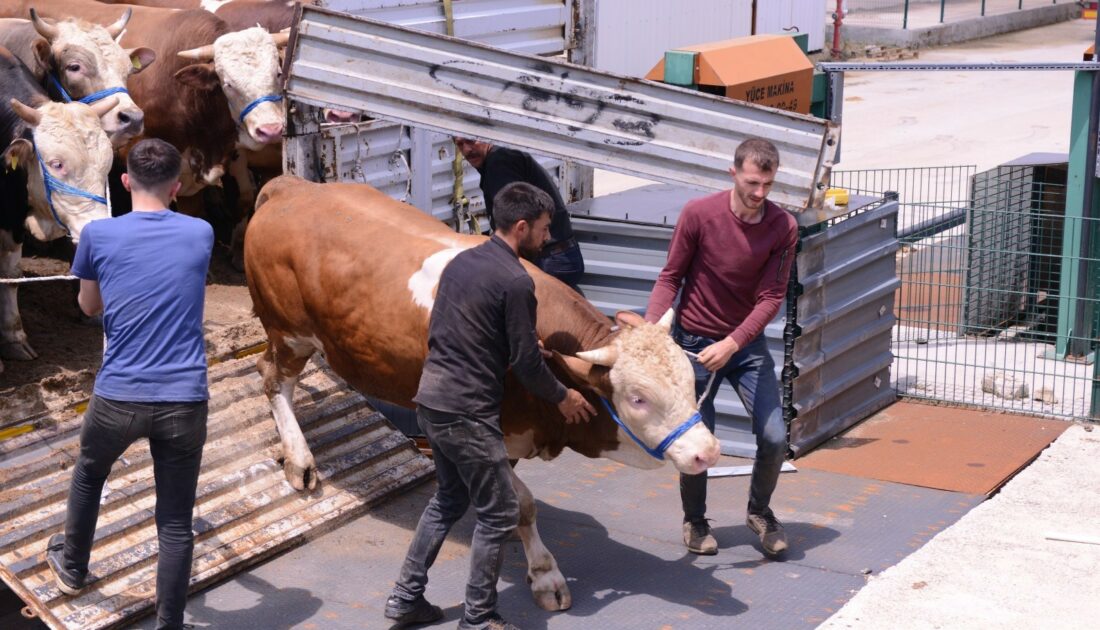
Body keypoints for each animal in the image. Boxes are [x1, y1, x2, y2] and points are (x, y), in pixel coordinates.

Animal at [246, 174, 726, 606]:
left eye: (689, 380)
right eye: (638, 398)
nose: (707, 451)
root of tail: (292, 188)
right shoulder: (486, 429)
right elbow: (523, 503)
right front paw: (545, 575)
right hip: (289, 332)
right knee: (272, 377)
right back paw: (299, 460)